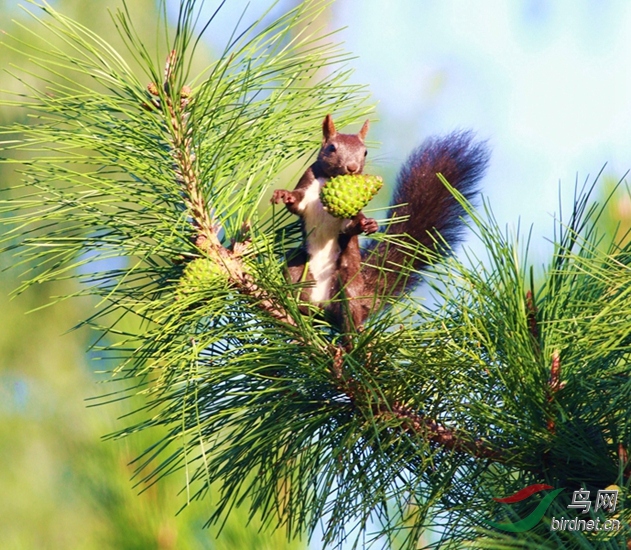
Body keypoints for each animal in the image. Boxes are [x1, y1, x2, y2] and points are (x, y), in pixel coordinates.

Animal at [272, 114, 488, 334]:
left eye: (365, 151)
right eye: (332, 147)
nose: (352, 168)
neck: (329, 180)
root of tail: (322, 305)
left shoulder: (349, 216)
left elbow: (350, 225)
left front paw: (367, 225)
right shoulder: (307, 185)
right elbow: (297, 202)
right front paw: (284, 195)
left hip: (347, 283)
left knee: (349, 313)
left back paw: (351, 337)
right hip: (298, 265)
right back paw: (294, 309)